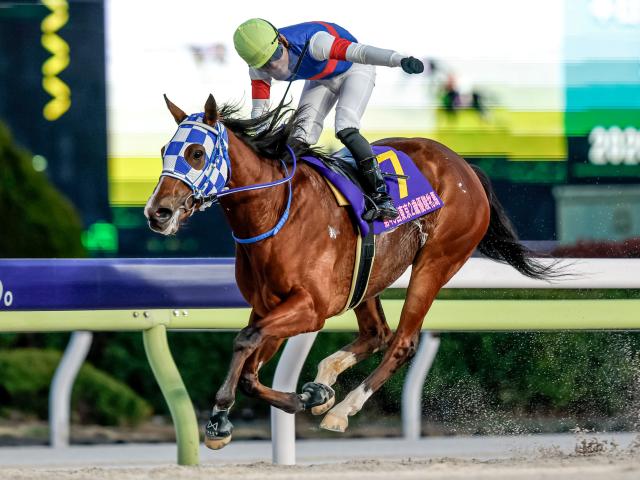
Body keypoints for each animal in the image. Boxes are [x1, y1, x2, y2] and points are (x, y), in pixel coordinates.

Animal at [145, 93, 557, 450]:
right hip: (369, 275)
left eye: (196, 153)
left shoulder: (310, 308)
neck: (275, 212)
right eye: (165, 151)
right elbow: (250, 370)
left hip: (437, 261)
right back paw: (325, 382)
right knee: (377, 333)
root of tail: (463, 165)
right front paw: (308, 397)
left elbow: (245, 341)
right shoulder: (268, 306)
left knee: (402, 341)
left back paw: (342, 410)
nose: (157, 212)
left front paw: (219, 420)